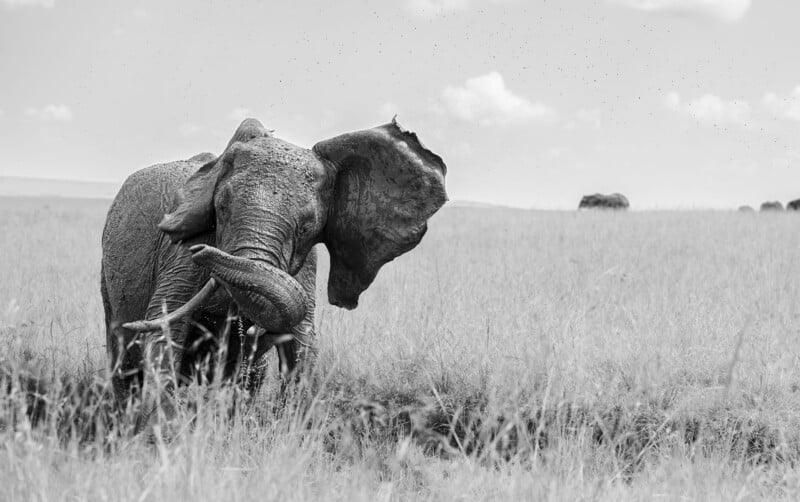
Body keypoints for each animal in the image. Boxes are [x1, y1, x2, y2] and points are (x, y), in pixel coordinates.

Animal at [101, 117, 448, 408]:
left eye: (306, 226)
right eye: (221, 207)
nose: (201, 251)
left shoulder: (307, 267)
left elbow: (303, 345)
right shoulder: (180, 253)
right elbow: (165, 331)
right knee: (123, 362)